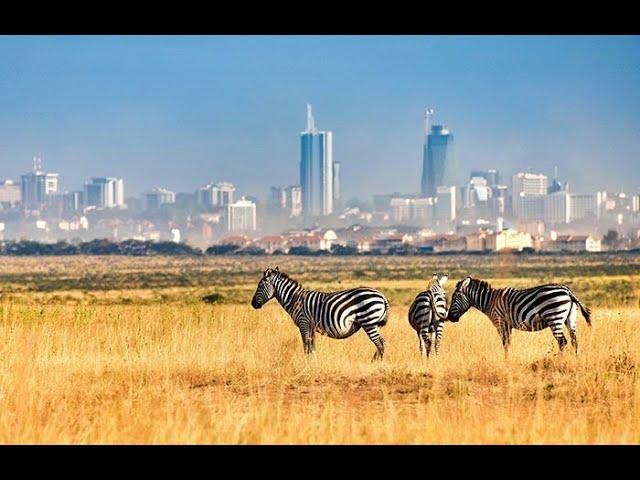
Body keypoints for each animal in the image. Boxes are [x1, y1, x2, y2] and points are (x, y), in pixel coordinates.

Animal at [250, 266, 390, 360]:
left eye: (259, 286)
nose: (253, 304)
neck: (294, 298)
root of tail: (382, 296)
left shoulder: (303, 322)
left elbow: (306, 345)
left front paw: (307, 363)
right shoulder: (311, 326)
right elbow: (312, 346)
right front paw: (313, 362)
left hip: (369, 322)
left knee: (380, 343)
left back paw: (376, 363)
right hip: (374, 324)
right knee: (381, 343)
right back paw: (375, 362)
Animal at [448, 276, 592, 354]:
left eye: (454, 298)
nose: (449, 318)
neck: (489, 301)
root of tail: (567, 291)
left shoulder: (500, 322)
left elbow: (505, 343)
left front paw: (506, 362)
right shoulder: (508, 325)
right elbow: (508, 343)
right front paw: (508, 359)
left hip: (554, 317)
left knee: (562, 342)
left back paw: (559, 362)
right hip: (570, 318)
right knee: (574, 341)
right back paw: (575, 361)